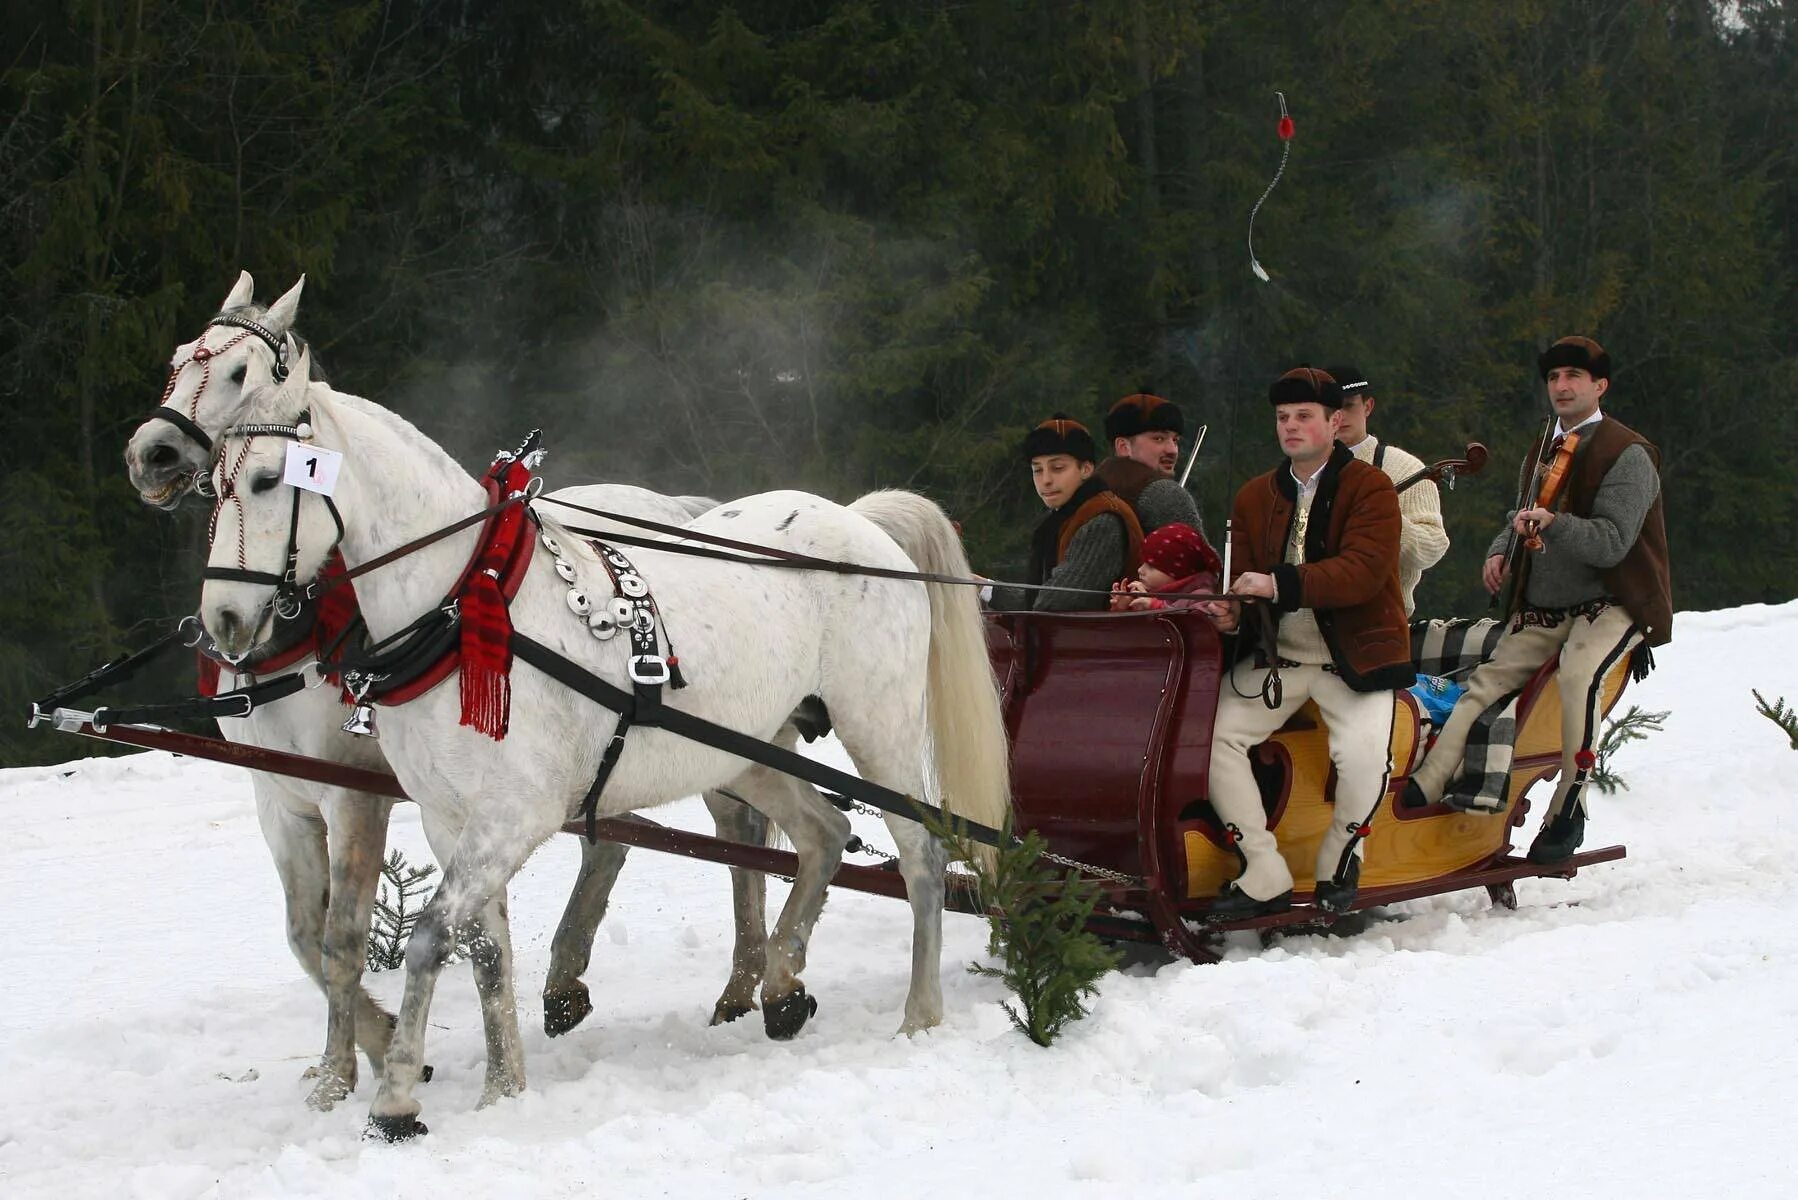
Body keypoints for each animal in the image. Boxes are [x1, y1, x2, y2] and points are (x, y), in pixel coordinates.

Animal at [119, 271, 776, 1108]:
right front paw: (349, 1064)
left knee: (740, 836)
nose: (153, 452)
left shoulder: (355, 795)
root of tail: (680, 510)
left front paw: (359, 1067)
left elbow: (340, 940)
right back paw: (570, 985)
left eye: (239, 372)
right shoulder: (281, 797)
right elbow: (303, 935)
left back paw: (740, 983)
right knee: (621, 839)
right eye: (178, 358)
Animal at [200, 345, 1014, 1137]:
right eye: (213, 484)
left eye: (269, 479)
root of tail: (856, 520)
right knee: (825, 831)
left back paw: (918, 1015)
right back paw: (781, 985)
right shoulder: (446, 818)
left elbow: (431, 936)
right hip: (744, 748)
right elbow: (486, 951)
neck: (465, 606)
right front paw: (503, 1091)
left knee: (920, 854)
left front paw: (396, 1098)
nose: (224, 621)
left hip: (880, 726)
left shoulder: (508, 816)